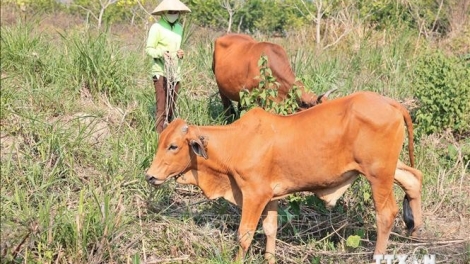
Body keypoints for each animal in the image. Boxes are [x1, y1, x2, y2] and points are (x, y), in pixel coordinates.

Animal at [146, 91, 422, 264]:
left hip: (377, 174)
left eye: (173, 146)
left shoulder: (254, 194)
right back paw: (415, 230)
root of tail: (392, 103)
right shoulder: (271, 196)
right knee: (414, 178)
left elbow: (244, 235)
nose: (150, 176)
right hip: (387, 168)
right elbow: (270, 230)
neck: (237, 143)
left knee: (385, 214)